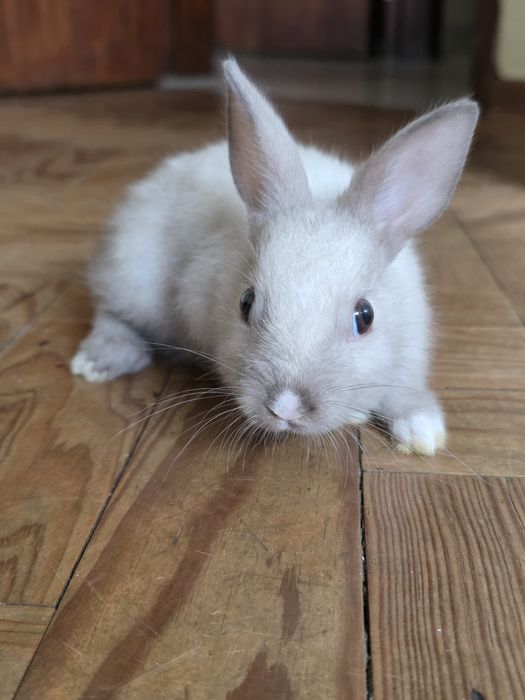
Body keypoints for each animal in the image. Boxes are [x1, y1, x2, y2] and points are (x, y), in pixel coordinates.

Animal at [71, 58, 479, 456]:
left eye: (365, 316)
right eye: (246, 303)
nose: (287, 406)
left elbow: (405, 392)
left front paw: (423, 433)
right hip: (132, 275)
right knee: (113, 313)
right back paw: (98, 361)